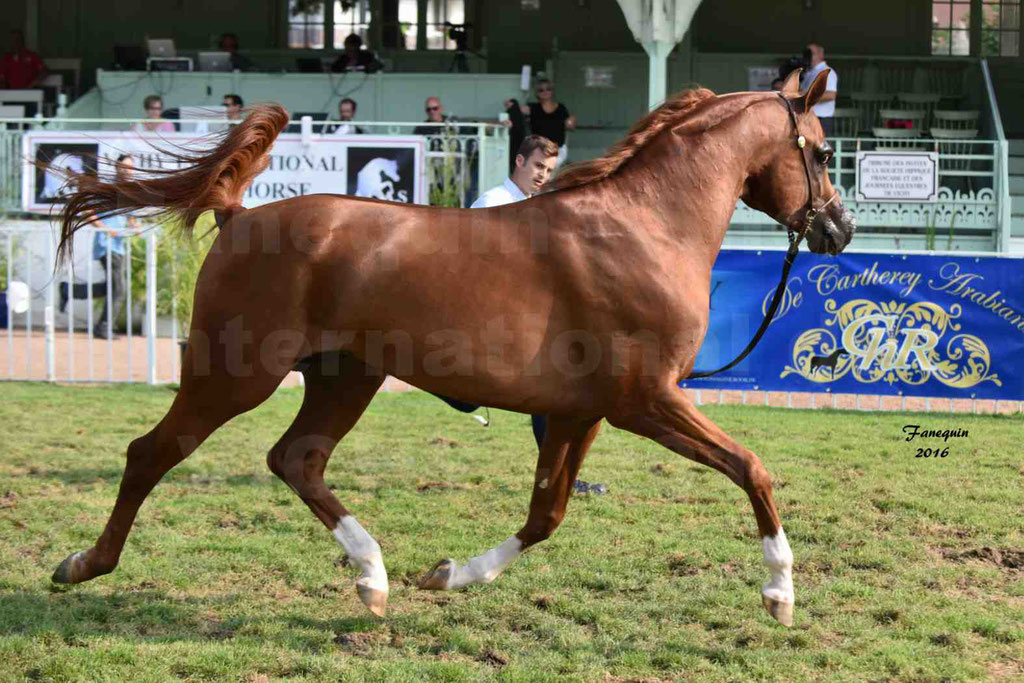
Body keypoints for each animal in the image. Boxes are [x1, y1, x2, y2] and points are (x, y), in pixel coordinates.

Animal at [49, 69, 856, 626]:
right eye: (820, 152)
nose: (839, 229)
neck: (644, 226)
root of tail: (240, 215)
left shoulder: (581, 411)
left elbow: (545, 514)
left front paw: (447, 574)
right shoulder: (645, 400)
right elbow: (752, 468)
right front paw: (780, 590)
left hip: (344, 378)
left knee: (296, 459)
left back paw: (373, 577)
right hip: (234, 372)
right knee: (153, 452)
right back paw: (85, 563)